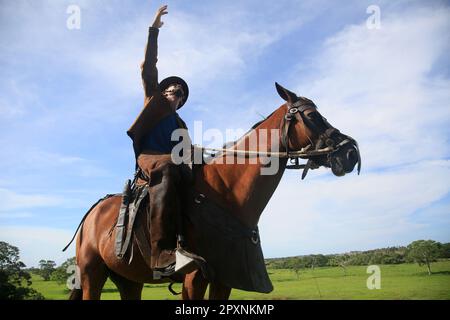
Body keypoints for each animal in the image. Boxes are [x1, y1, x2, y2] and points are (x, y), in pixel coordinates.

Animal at [67, 83, 362, 300]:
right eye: (312, 115)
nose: (350, 152)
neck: (226, 190)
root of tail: (92, 213)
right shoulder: (194, 278)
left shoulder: (225, 279)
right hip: (92, 275)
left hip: (129, 280)